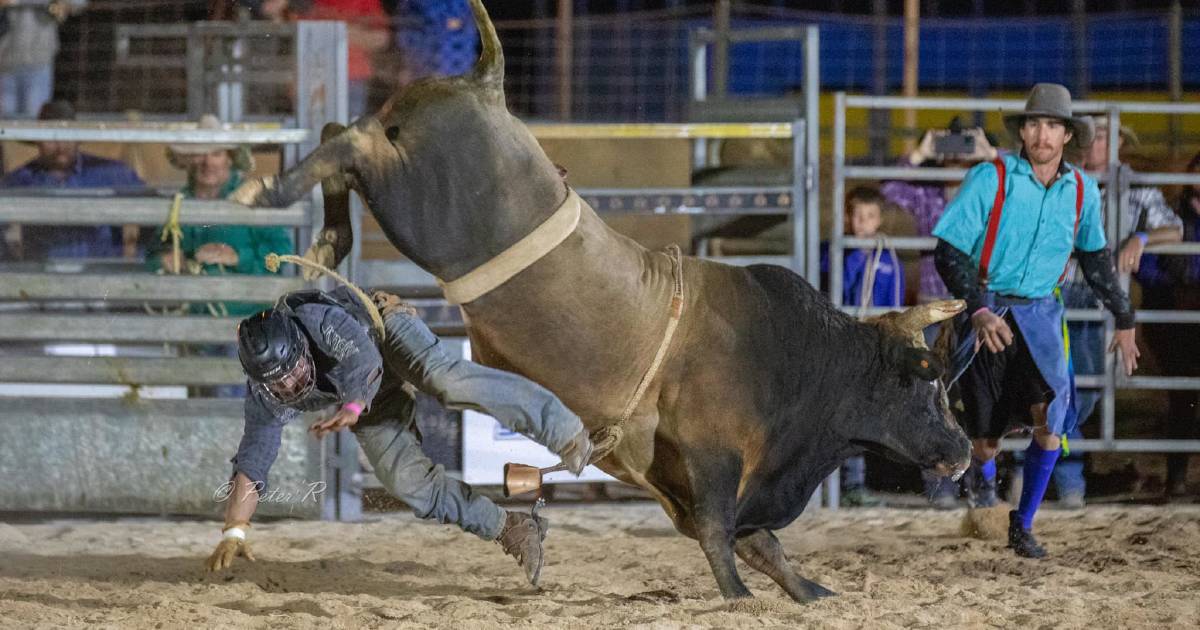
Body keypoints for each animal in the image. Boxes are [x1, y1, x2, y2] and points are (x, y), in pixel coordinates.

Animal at [229, 0, 969, 600]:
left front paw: (811, 592)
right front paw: (738, 597)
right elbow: (723, 532)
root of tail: (487, 89)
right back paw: (270, 193)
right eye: (927, 383)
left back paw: (326, 239)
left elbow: (764, 543)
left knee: (340, 135)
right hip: (415, 199)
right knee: (351, 144)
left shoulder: (691, 474)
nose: (964, 452)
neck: (798, 358)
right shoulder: (714, 453)